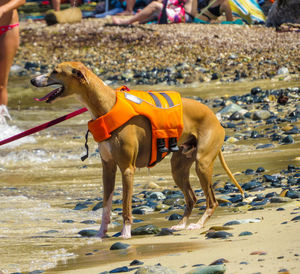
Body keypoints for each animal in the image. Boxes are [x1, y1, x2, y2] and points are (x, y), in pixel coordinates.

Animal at [31, 61, 244, 238]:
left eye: (55, 71)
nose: (32, 80)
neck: (106, 106)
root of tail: (216, 118)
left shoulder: (127, 169)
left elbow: (126, 205)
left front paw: (125, 233)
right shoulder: (108, 168)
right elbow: (106, 207)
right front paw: (100, 234)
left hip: (202, 162)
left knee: (212, 201)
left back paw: (197, 224)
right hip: (178, 167)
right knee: (192, 198)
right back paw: (181, 225)